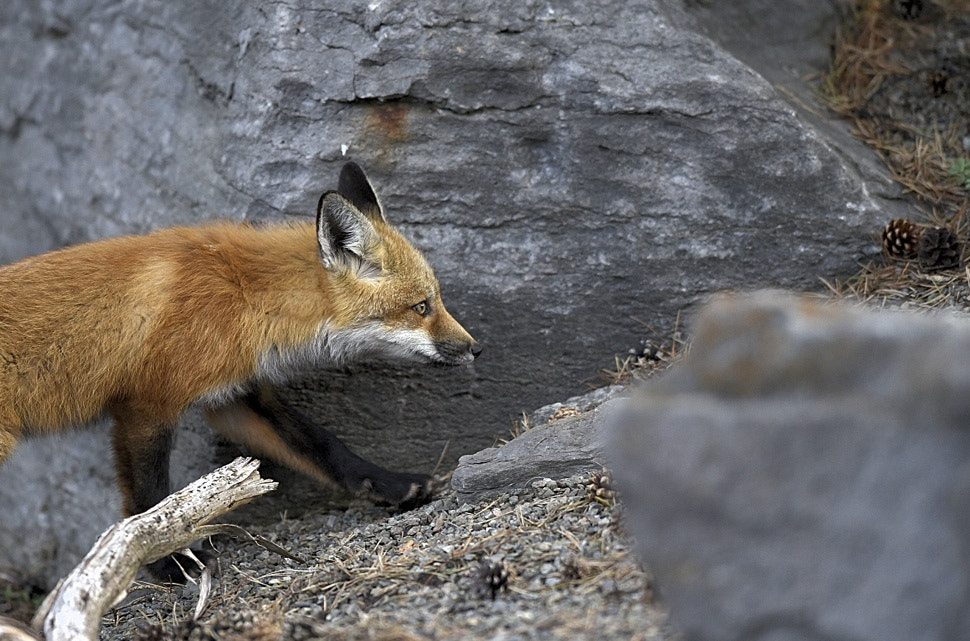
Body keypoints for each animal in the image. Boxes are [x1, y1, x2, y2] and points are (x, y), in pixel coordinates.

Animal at [0, 162, 480, 578]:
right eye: (421, 307)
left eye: (435, 300)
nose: (475, 349)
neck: (245, 294)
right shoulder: (149, 405)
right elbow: (149, 500)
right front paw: (167, 564)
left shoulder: (235, 396)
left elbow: (325, 447)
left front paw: (392, 485)